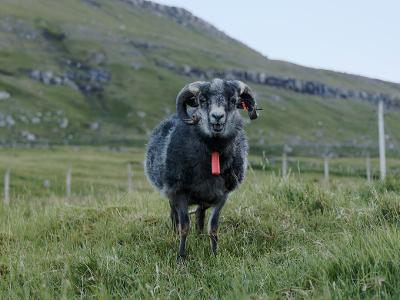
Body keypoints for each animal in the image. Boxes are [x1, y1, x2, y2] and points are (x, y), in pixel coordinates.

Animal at [144, 78, 260, 258]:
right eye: (203, 100)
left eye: (233, 101)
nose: (217, 116)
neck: (213, 150)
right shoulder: (179, 192)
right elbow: (184, 226)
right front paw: (181, 257)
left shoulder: (222, 196)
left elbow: (213, 227)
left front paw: (214, 254)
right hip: (172, 194)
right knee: (174, 215)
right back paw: (174, 234)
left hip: (205, 197)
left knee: (199, 213)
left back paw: (199, 237)